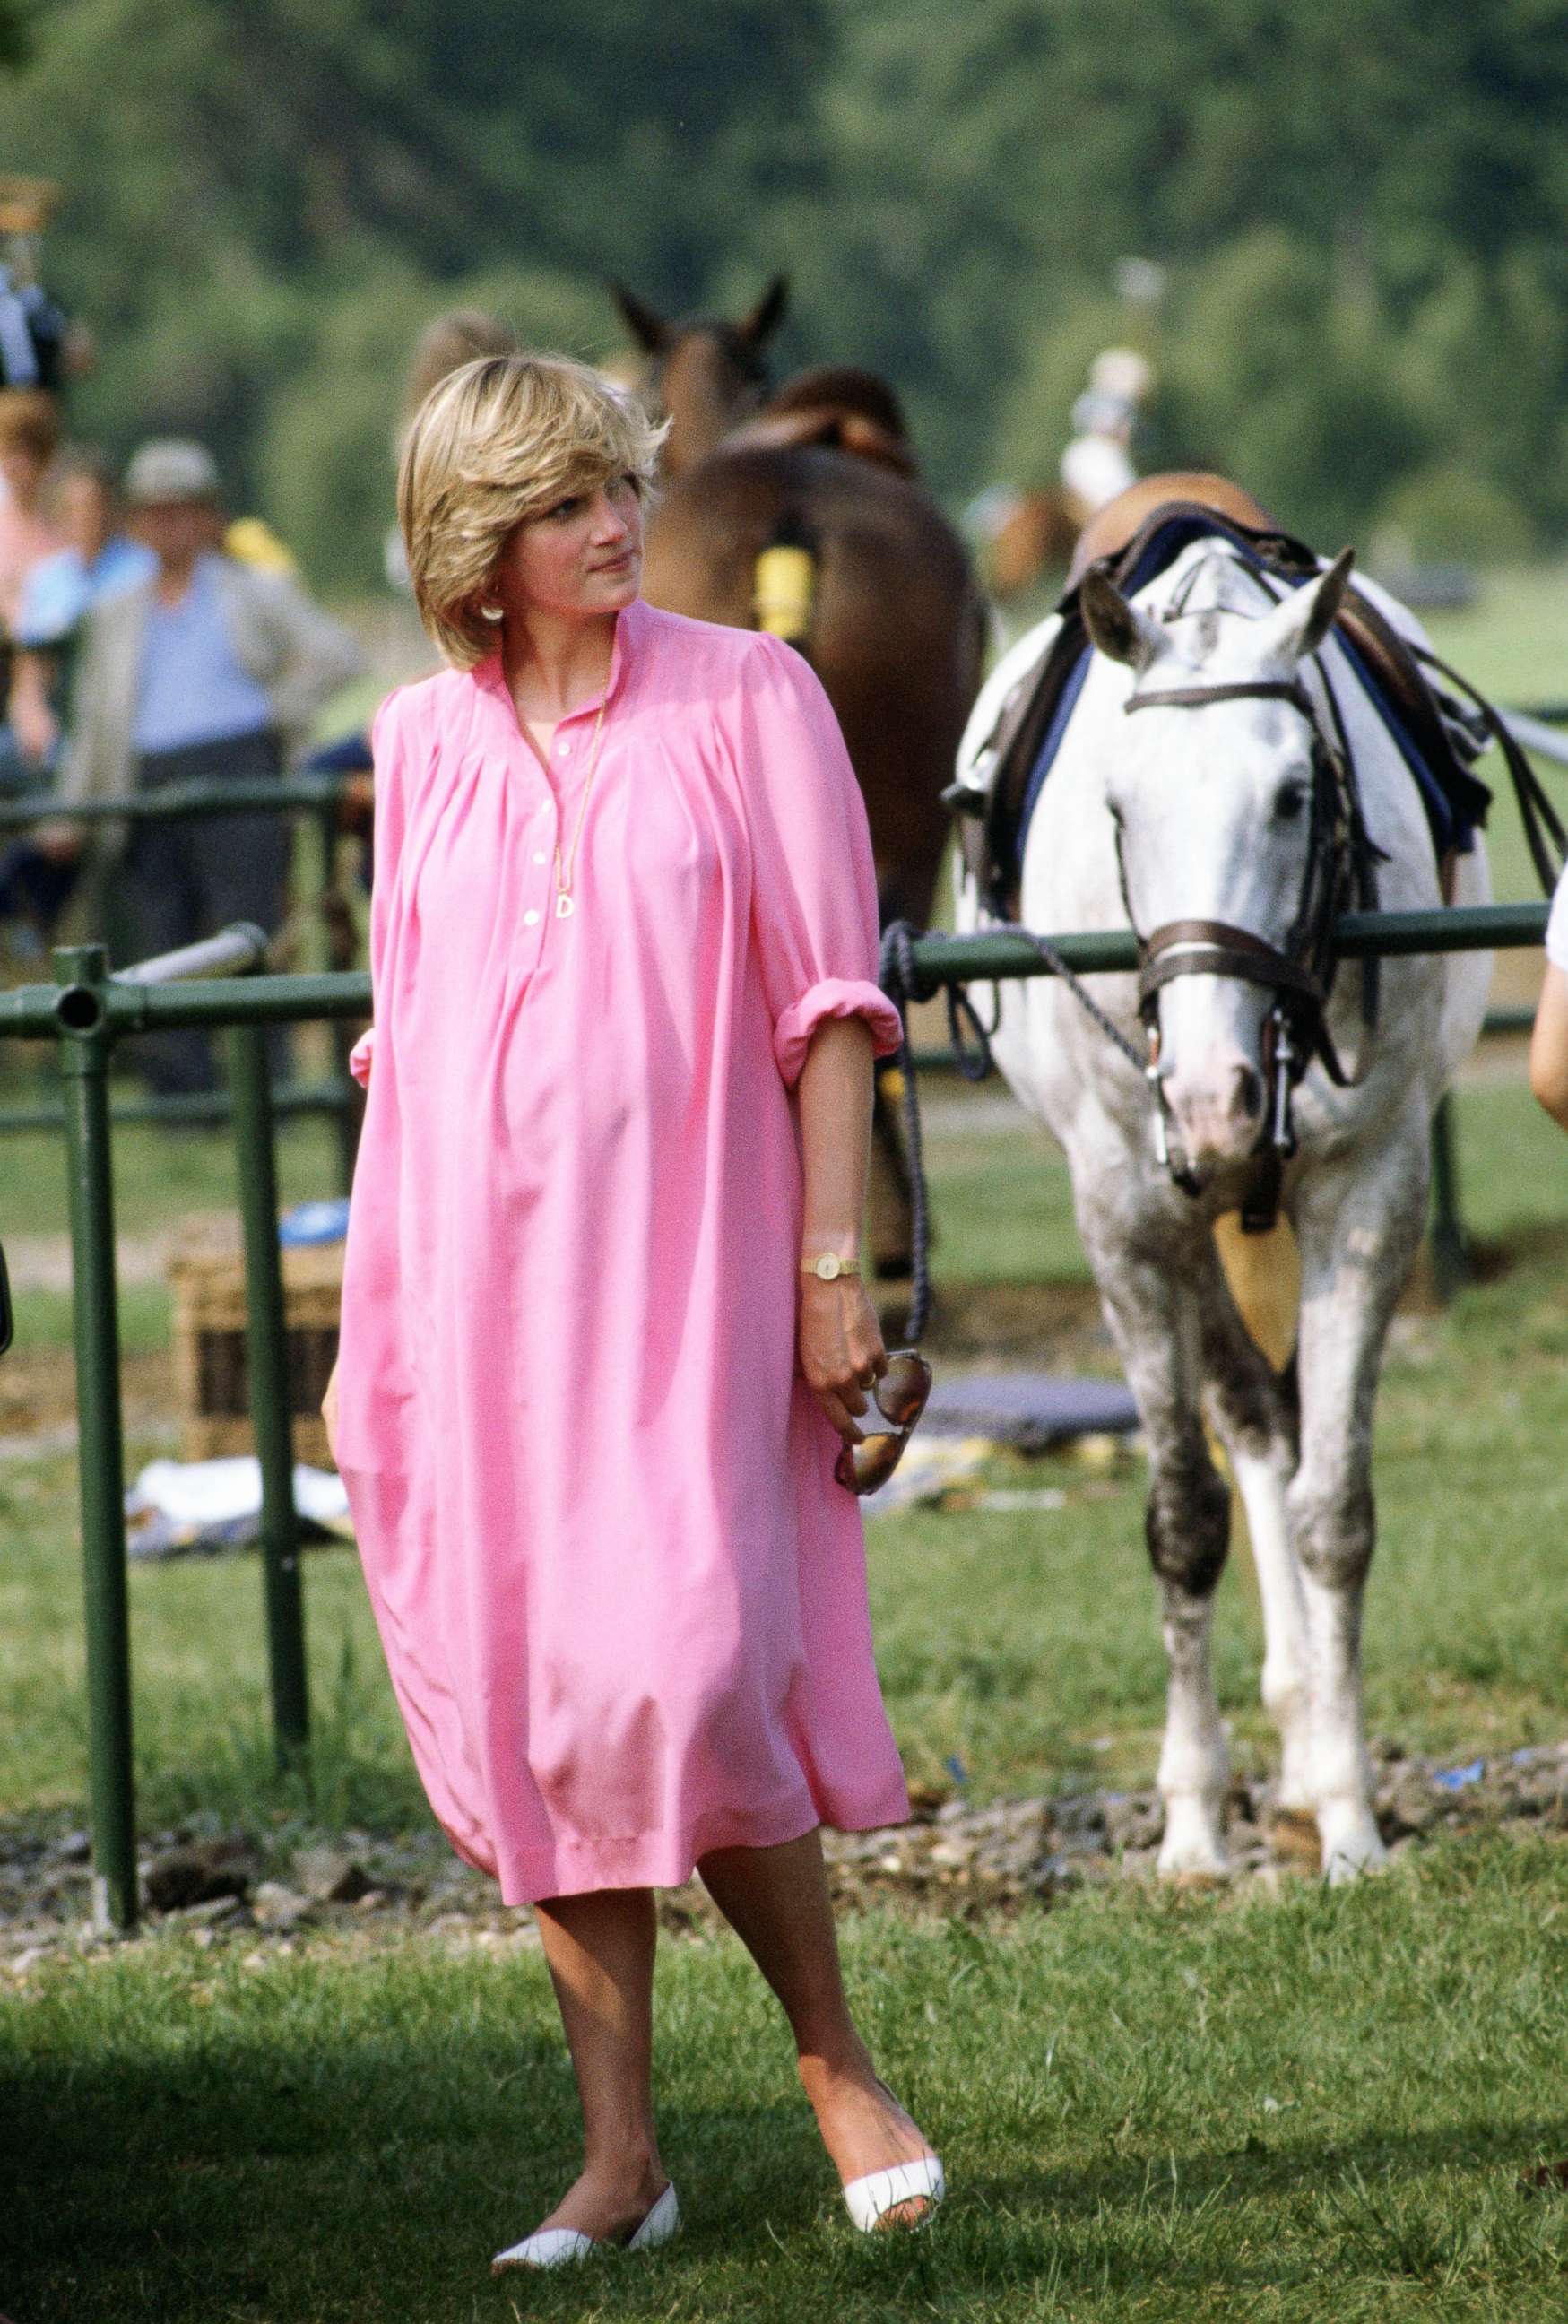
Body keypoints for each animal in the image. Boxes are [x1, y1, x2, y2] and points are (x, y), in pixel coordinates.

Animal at [957, 534, 1495, 1877]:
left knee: (1281, 1437)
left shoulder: (1369, 1195)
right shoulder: (1127, 1216)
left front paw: (1350, 1814)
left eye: (1296, 795)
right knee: (1249, 1423)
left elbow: (1332, 1515)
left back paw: (1305, 1748)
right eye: (1119, 809)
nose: (1210, 1096)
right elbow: (1185, 1518)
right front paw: (1193, 1820)